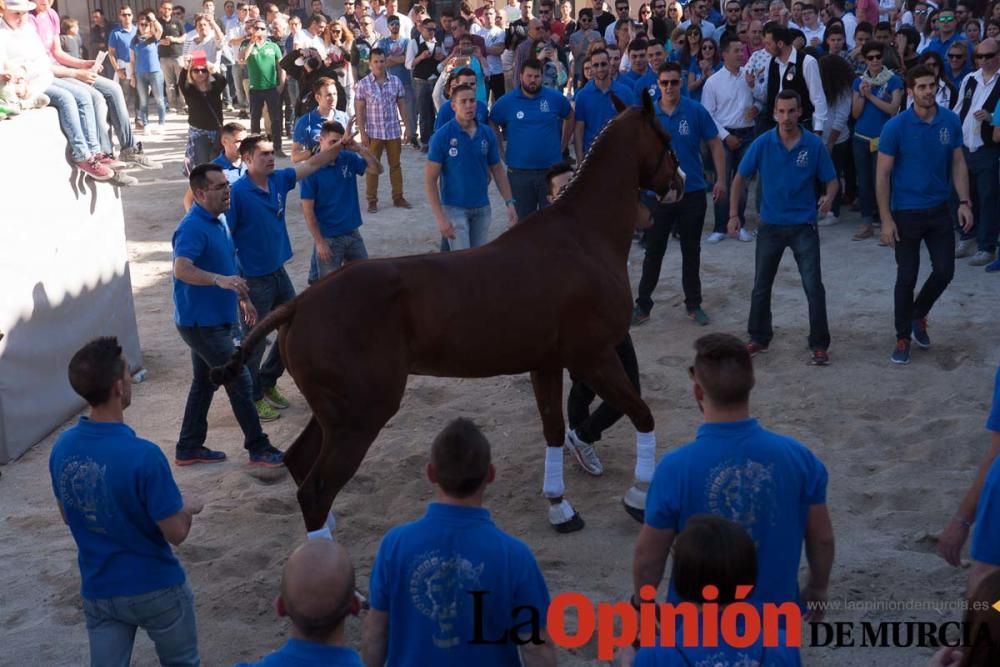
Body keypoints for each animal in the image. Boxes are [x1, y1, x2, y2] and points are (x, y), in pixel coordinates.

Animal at [209, 91, 680, 536]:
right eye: (666, 138)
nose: (680, 181)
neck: (582, 236)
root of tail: (300, 304)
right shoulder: (594, 357)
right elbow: (642, 414)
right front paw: (640, 499)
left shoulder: (546, 364)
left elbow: (553, 429)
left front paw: (560, 508)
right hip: (359, 417)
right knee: (316, 488)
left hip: (335, 414)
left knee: (299, 461)